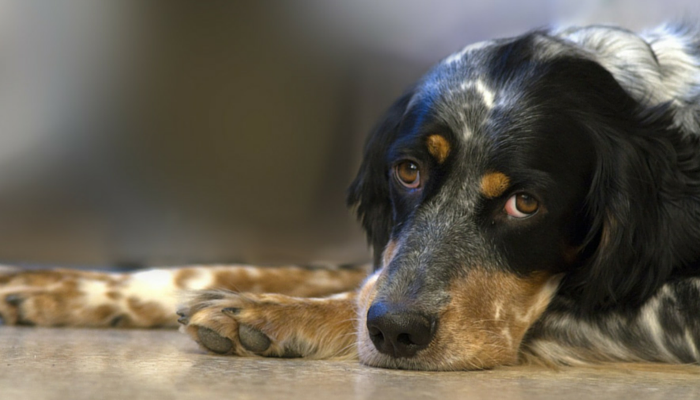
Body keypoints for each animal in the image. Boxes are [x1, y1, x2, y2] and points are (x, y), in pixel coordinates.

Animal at [1, 23, 700, 370]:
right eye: (409, 171)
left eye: (525, 204)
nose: (395, 332)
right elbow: (307, 270)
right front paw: (65, 287)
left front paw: (274, 316)